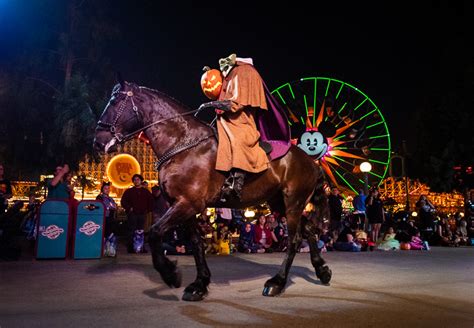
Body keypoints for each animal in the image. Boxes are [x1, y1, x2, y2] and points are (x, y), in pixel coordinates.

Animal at [91, 80, 330, 302]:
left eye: (114, 102)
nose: (98, 141)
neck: (183, 143)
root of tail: (311, 161)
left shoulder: (188, 204)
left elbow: (155, 232)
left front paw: (171, 274)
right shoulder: (183, 205)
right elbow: (196, 243)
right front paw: (200, 284)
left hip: (293, 203)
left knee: (295, 239)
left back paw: (277, 282)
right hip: (279, 202)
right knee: (308, 230)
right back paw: (322, 270)